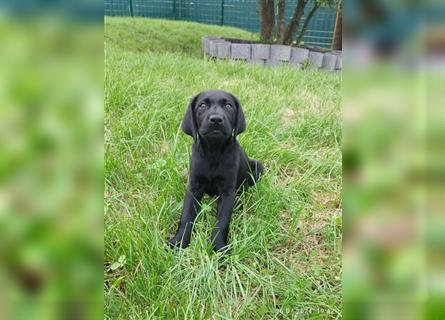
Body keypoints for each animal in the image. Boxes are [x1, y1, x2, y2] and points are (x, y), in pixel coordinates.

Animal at [168, 90, 262, 252]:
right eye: (202, 105)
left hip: (258, 167)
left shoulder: (227, 192)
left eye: (229, 106)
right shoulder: (193, 188)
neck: (214, 151)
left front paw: (219, 247)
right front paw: (179, 242)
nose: (216, 119)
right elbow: (186, 217)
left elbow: (222, 222)